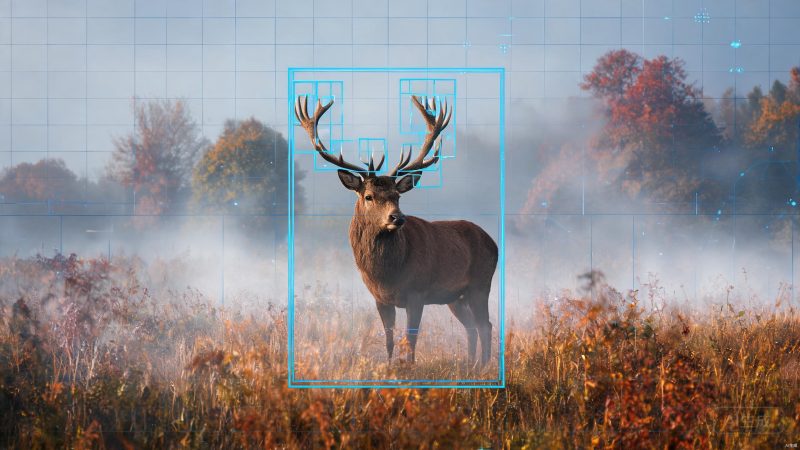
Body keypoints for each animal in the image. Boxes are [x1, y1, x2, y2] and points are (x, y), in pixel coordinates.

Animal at [294, 94, 498, 367]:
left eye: (397, 195)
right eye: (368, 196)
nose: (397, 218)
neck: (388, 273)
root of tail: (493, 242)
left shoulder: (417, 293)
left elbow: (410, 337)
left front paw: (408, 367)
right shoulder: (380, 298)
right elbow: (389, 337)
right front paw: (389, 365)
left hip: (480, 284)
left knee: (486, 324)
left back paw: (482, 367)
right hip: (455, 297)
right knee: (472, 326)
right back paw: (469, 364)